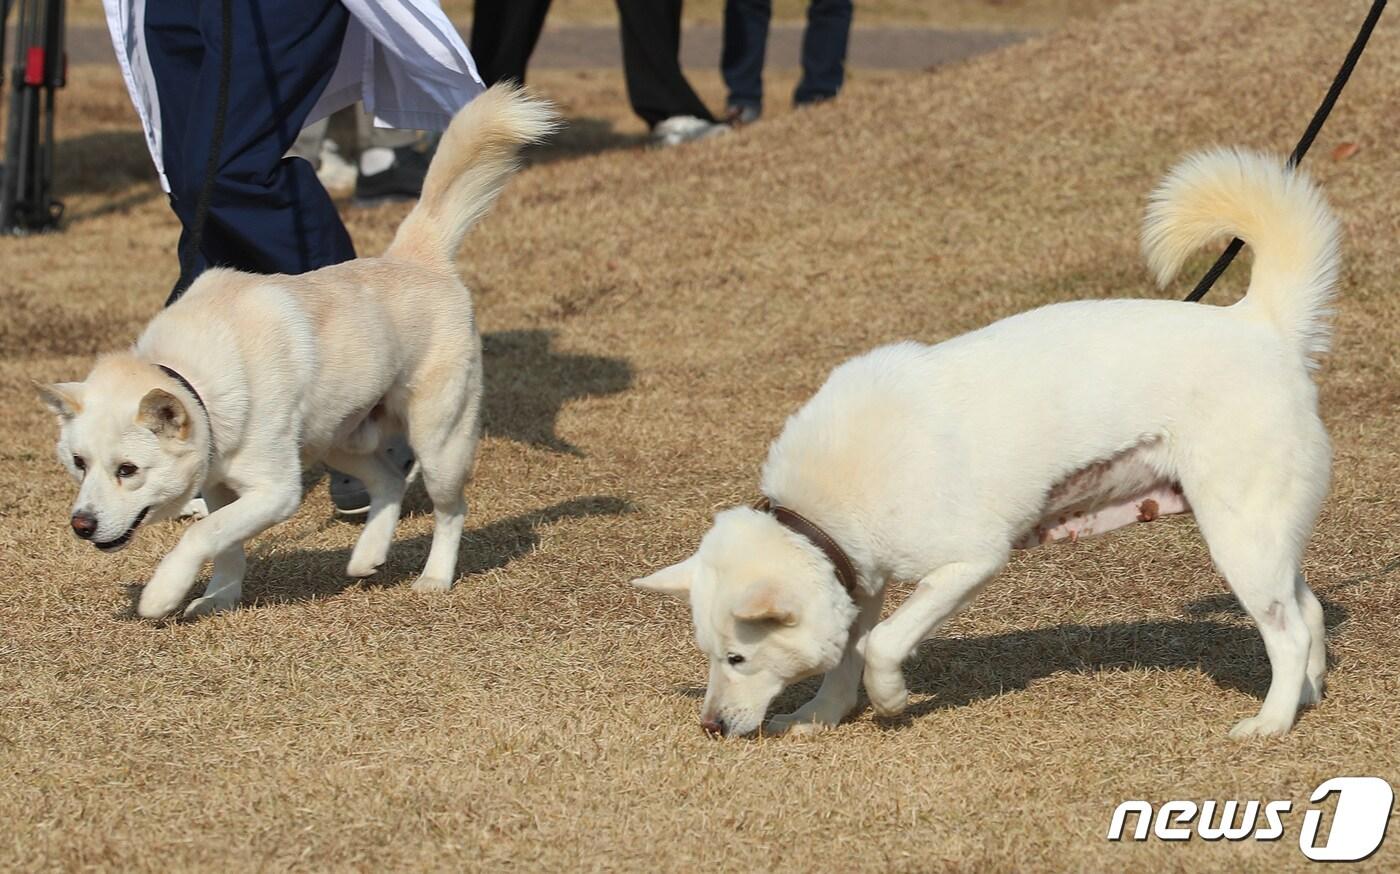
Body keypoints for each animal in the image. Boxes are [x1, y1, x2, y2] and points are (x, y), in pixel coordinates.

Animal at [36, 85, 557, 621]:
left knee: (451, 509)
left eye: (128, 470)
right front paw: (219, 598)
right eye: (78, 463)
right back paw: (368, 555)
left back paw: (434, 578)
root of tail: (416, 256)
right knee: (388, 481)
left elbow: (202, 533)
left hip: (439, 443)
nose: (81, 524)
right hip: (339, 438)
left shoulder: (276, 492)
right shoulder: (219, 484)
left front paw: (163, 592)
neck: (195, 381)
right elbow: (225, 544)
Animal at [635, 148, 1332, 739]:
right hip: (1263, 537)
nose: (710, 727)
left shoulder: (969, 562)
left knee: (1289, 632)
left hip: (1236, 533)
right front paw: (819, 716)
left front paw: (891, 700)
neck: (822, 508)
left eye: (737, 656)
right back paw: (1306, 695)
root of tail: (1259, 322)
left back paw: (1270, 723)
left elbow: (879, 645)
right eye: (708, 654)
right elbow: (845, 658)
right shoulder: (860, 581)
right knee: (1309, 609)